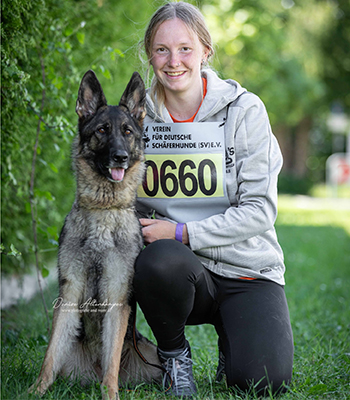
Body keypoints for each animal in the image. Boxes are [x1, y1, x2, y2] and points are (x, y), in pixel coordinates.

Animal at [30, 72, 161, 400]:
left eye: (127, 132)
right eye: (102, 130)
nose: (121, 157)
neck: (104, 211)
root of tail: (91, 371)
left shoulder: (116, 296)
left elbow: (111, 359)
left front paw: (110, 393)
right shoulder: (69, 294)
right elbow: (49, 356)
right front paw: (35, 390)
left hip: (152, 356)